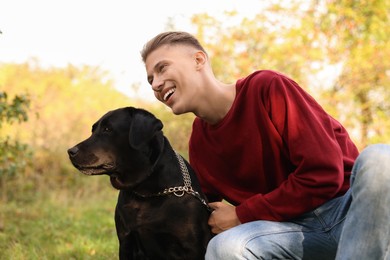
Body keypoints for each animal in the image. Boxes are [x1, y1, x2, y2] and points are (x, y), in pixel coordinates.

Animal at [68, 106, 213, 258]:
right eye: (93, 130)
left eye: (107, 129)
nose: (70, 151)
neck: (144, 192)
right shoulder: (126, 242)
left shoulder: (193, 248)